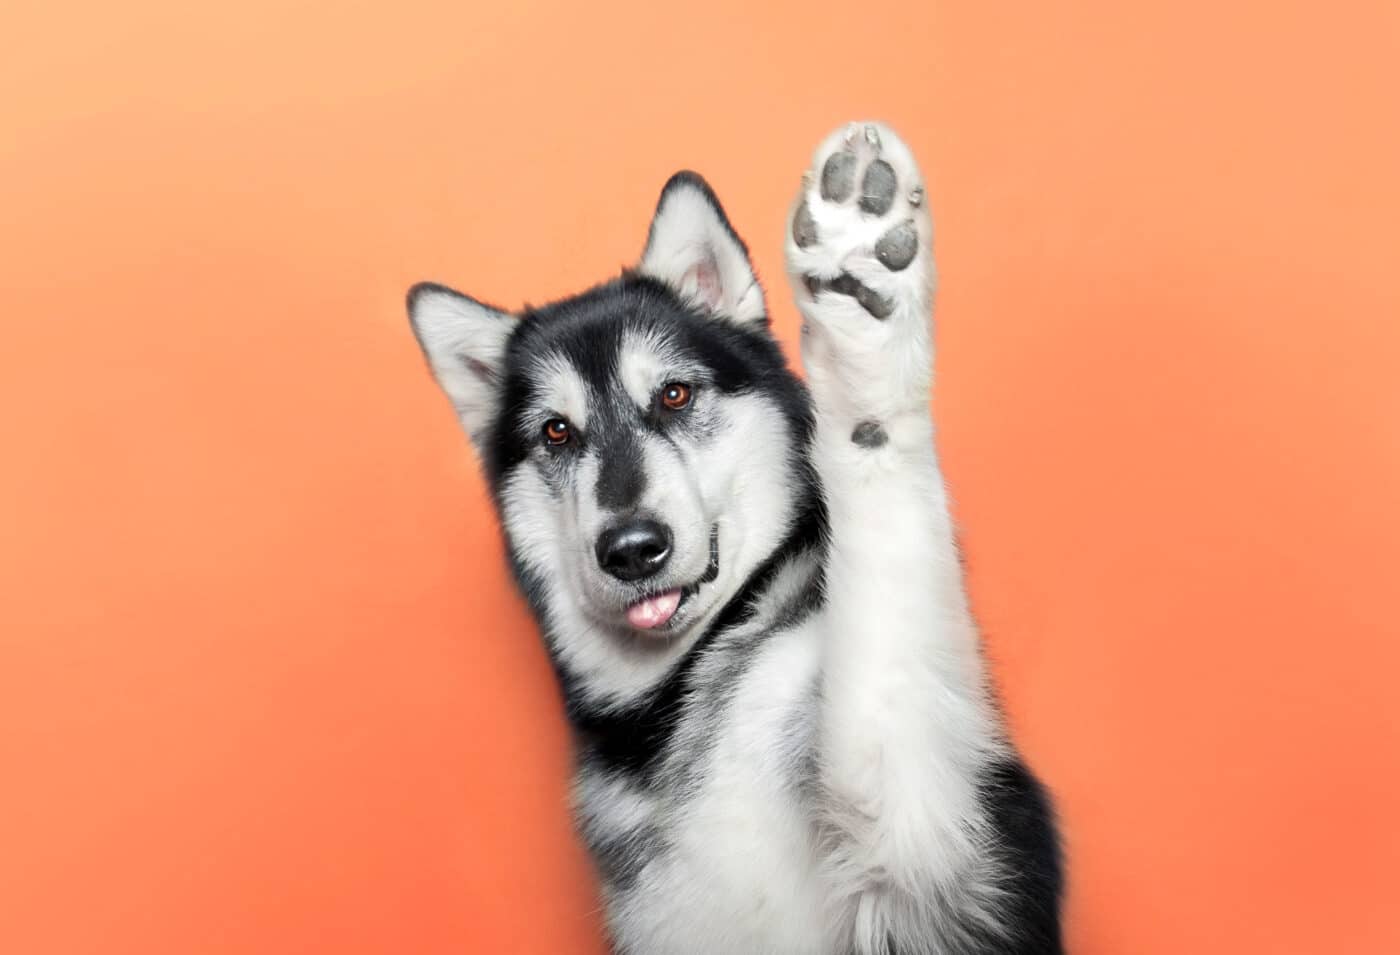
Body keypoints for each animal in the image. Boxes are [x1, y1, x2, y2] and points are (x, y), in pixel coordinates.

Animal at [406, 122, 1058, 946]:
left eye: (675, 394)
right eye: (556, 432)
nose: (631, 549)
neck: (678, 698)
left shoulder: (927, 854)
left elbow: (886, 579)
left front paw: (861, 317)